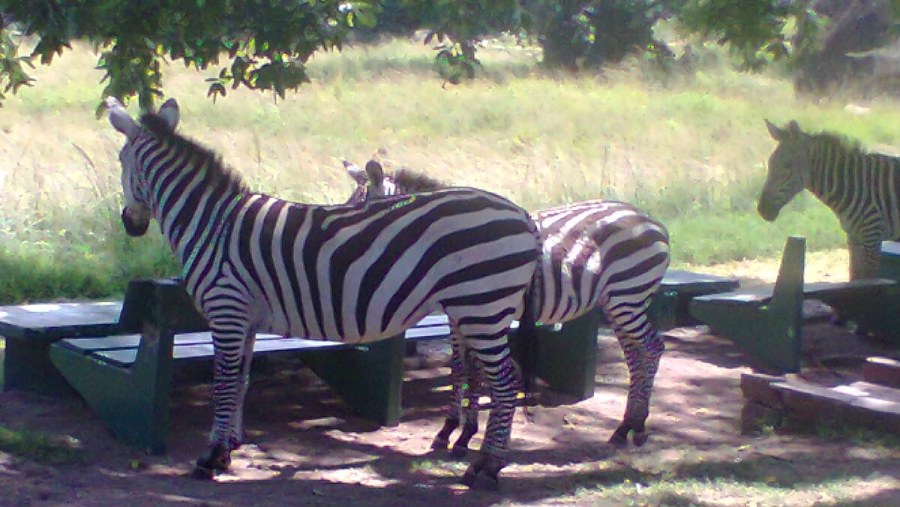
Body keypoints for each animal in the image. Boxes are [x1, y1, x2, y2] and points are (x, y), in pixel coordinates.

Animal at [105, 97, 540, 490]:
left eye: (121, 160)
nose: (130, 224)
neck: (212, 222)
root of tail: (523, 216)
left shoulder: (226, 308)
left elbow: (223, 384)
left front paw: (210, 458)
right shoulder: (245, 317)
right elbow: (241, 381)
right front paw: (228, 449)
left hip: (482, 307)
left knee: (505, 383)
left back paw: (488, 470)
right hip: (475, 310)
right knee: (498, 379)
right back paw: (480, 461)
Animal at [342, 159, 672, 452]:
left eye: (360, 212)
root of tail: (649, 219)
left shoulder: (474, 311)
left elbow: (473, 369)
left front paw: (463, 435)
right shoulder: (458, 315)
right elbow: (460, 368)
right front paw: (450, 431)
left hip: (627, 296)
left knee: (651, 349)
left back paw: (636, 427)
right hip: (618, 301)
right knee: (636, 355)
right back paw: (626, 427)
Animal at [760, 119, 900, 280]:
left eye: (787, 165)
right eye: (769, 163)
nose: (762, 209)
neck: (854, 185)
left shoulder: (872, 235)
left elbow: (869, 279)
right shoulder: (854, 238)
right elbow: (855, 277)